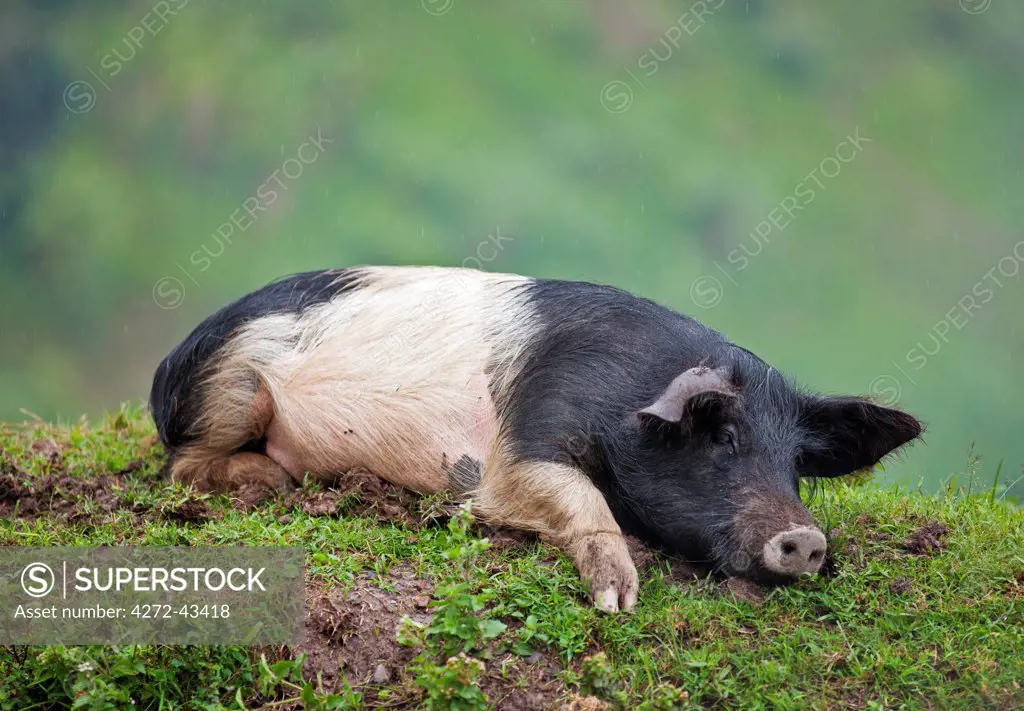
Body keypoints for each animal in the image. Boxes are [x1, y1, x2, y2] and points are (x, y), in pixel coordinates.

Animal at [153, 266, 929, 614]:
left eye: (796, 461)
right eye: (724, 436)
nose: (806, 538)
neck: (626, 401)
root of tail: (170, 361)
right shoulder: (528, 433)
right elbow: (564, 495)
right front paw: (618, 599)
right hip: (234, 386)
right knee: (180, 467)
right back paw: (274, 483)